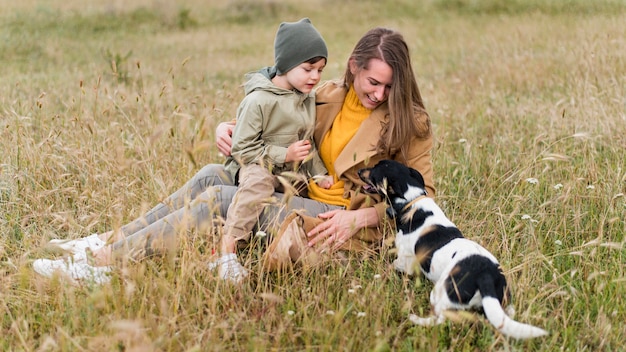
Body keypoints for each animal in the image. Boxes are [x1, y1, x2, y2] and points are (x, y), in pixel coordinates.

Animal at [356, 161, 544, 340]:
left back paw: (416, 319)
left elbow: (391, 266)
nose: (358, 171)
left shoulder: (405, 261)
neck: (412, 201)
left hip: (440, 293)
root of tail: (485, 274)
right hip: (501, 301)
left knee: (439, 319)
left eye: (375, 168)